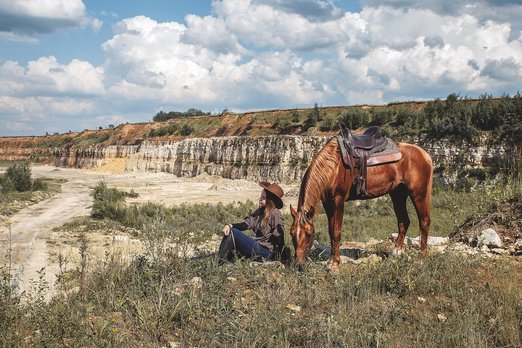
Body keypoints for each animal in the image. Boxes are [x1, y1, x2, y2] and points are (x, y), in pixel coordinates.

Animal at [288, 135, 430, 270]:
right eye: (292, 233)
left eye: (308, 234)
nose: (298, 264)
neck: (332, 167)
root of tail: (424, 154)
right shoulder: (327, 203)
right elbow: (331, 231)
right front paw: (330, 261)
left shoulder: (338, 202)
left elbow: (336, 232)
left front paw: (335, 263)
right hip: (398, 194)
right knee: (403, 221)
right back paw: (397, 251)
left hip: (418, 194)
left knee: (424, 221)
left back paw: (422, 256)